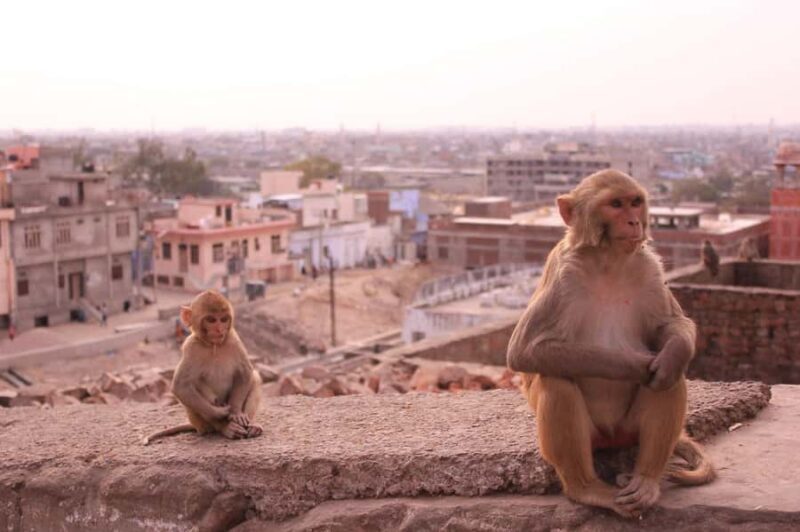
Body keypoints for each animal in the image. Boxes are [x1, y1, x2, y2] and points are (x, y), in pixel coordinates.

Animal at [143, 290, 263, 445]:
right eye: (211, 320)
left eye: (223, 319)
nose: (219, 329)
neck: (214, 346)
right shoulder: (191, 347)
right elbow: (181, 386)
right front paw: (219, 413)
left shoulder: (233, 340)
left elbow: (245, 373)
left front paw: (236, 412)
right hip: (200, 423)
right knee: (193, 385)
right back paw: (226, 427)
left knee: (255, 378)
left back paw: (251, 425)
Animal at [507, 169, 714, 519]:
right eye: (615, 204)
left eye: (635, 202)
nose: (634, 222)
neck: (608, 261)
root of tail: (611, 439)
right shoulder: (563, 274)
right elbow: (525, 351)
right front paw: (636, 364)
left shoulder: (649, 268)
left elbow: (670, 327)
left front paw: (671, 354)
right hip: (593, 437)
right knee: (556, 381)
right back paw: (587, 489)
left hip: (628, 431)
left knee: (670, 379)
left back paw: (646, 480)